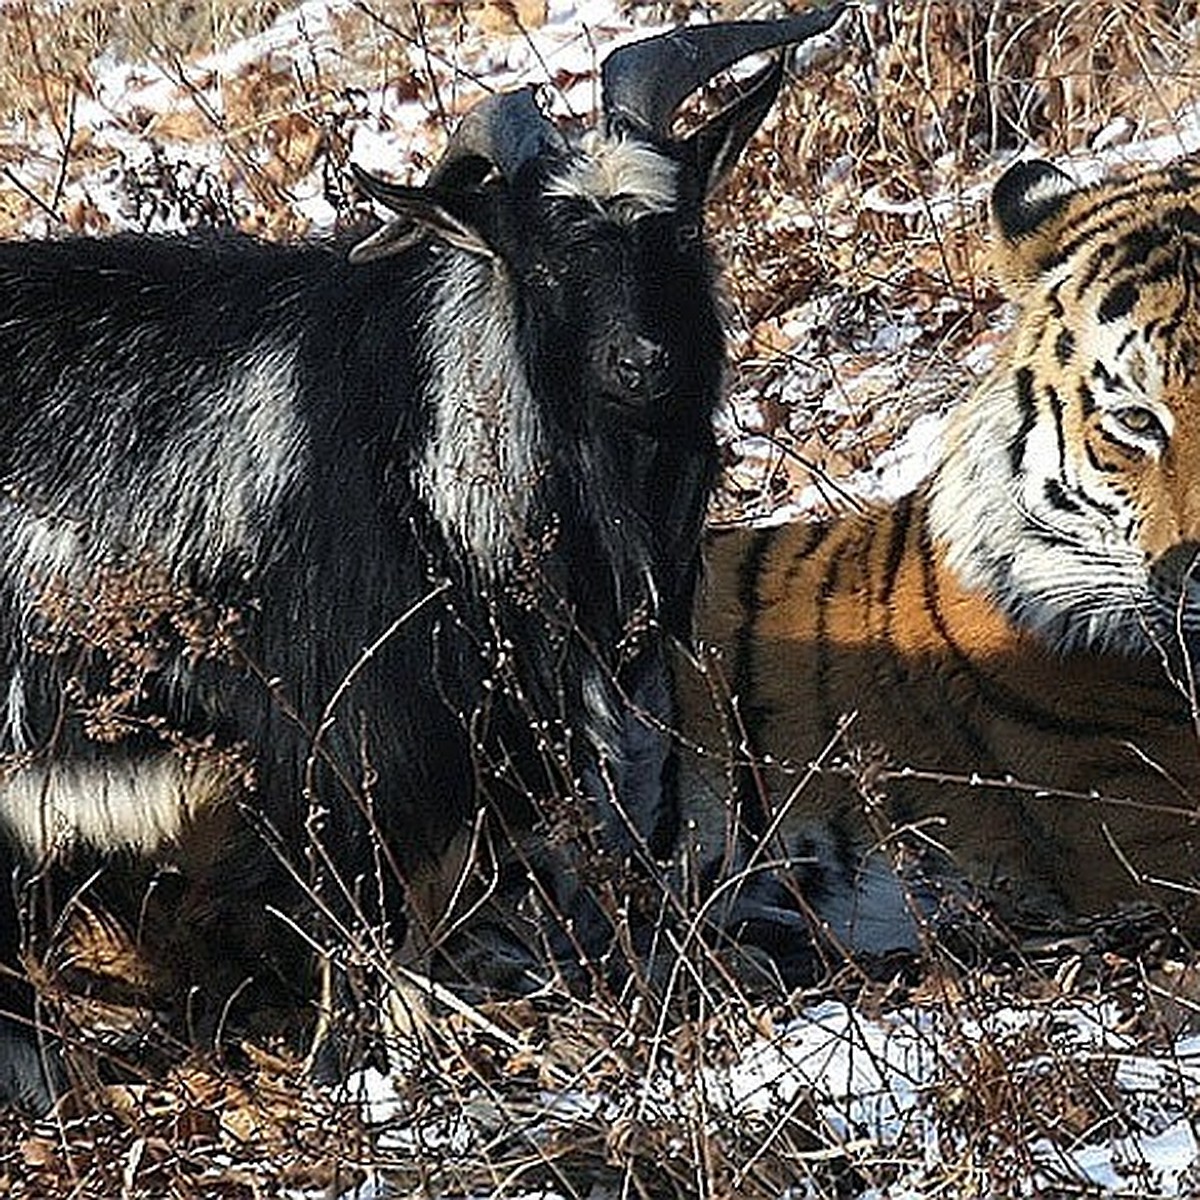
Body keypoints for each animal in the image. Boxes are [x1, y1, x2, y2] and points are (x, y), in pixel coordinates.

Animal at [0, 7, 844, 1104]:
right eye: (543, 264)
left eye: (681, 234)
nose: (643, 366)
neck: (431, 435)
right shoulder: (346, 741)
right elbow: (363, 925)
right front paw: (365, 1080)